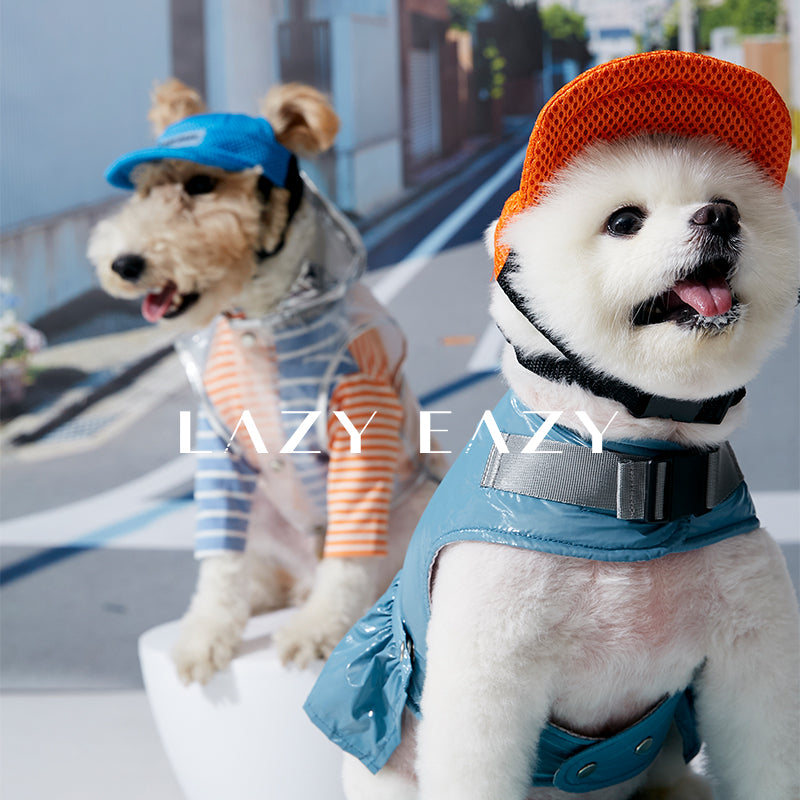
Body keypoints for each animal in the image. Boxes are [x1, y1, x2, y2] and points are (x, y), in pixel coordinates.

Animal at [90, 79, 440, 680]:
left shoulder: (361, 424)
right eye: (143, 192)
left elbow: (348, 560)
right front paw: (204, 637)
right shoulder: (220, 446)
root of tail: (298, 577)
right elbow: (218, 565)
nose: (124, 264)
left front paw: (315, 635)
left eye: (201, 184)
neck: (262, 323)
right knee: (254, 574)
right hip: (262, 521)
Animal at [302, 51, 800, 800]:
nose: (720, 215)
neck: (631, 472)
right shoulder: (489, 669)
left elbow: (767, 752)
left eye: (730, 201)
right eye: (624, 221)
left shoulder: (753, 652)